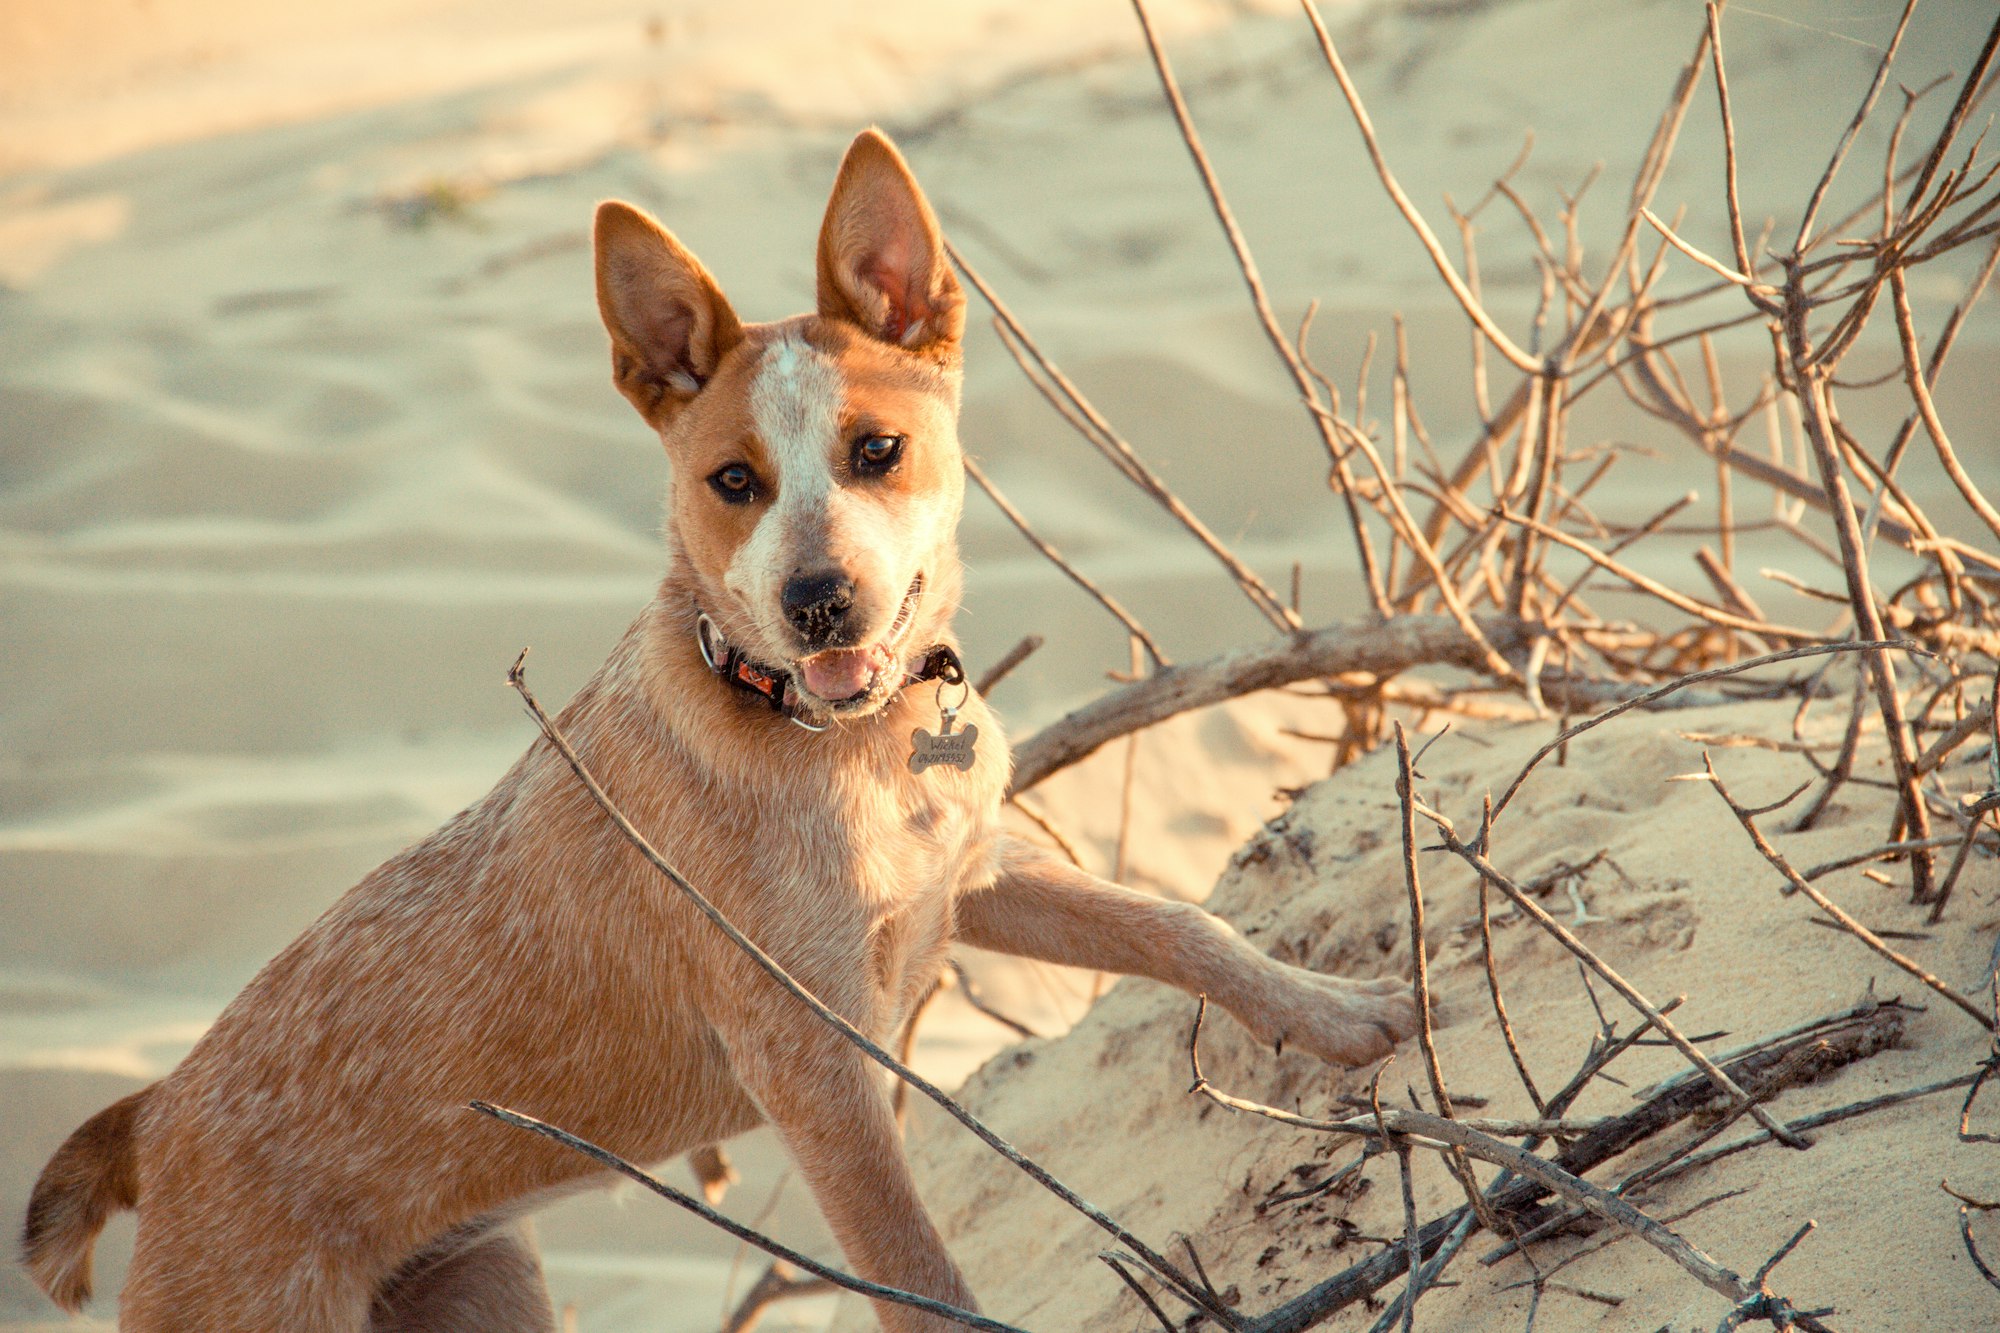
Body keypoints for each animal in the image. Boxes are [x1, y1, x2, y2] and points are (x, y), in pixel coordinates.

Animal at [19, 127, 1424, 1328]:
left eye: (877, 450)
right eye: (732, 482)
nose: (818, 602)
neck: (837, 740)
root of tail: (151, 1116)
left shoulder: (975, 877)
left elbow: (1176, 925)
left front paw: (1332, 1012)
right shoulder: (814, 1069)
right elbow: (917, 1274)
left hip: (480, 1286)